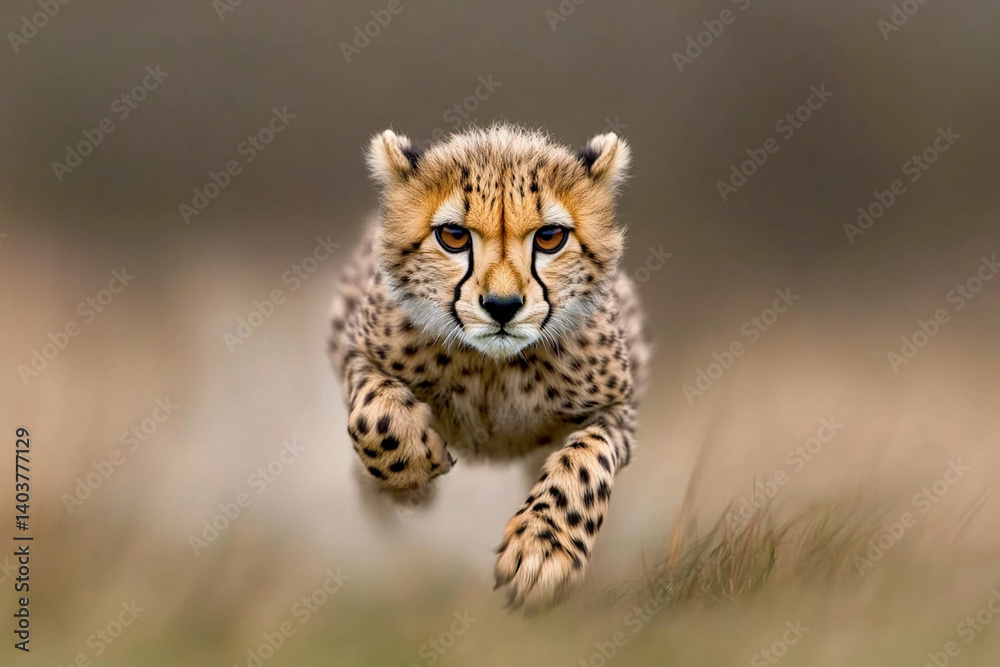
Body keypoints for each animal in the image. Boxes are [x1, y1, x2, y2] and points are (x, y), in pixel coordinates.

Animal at [328, 124, 649, 611]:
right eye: (454, 236)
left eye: (550, 237)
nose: (502, 306)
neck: (492, 368)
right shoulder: (357, 350)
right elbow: (374, 417)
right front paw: (416, 477)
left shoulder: (618, 407)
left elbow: (584, 462)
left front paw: (542, 552)